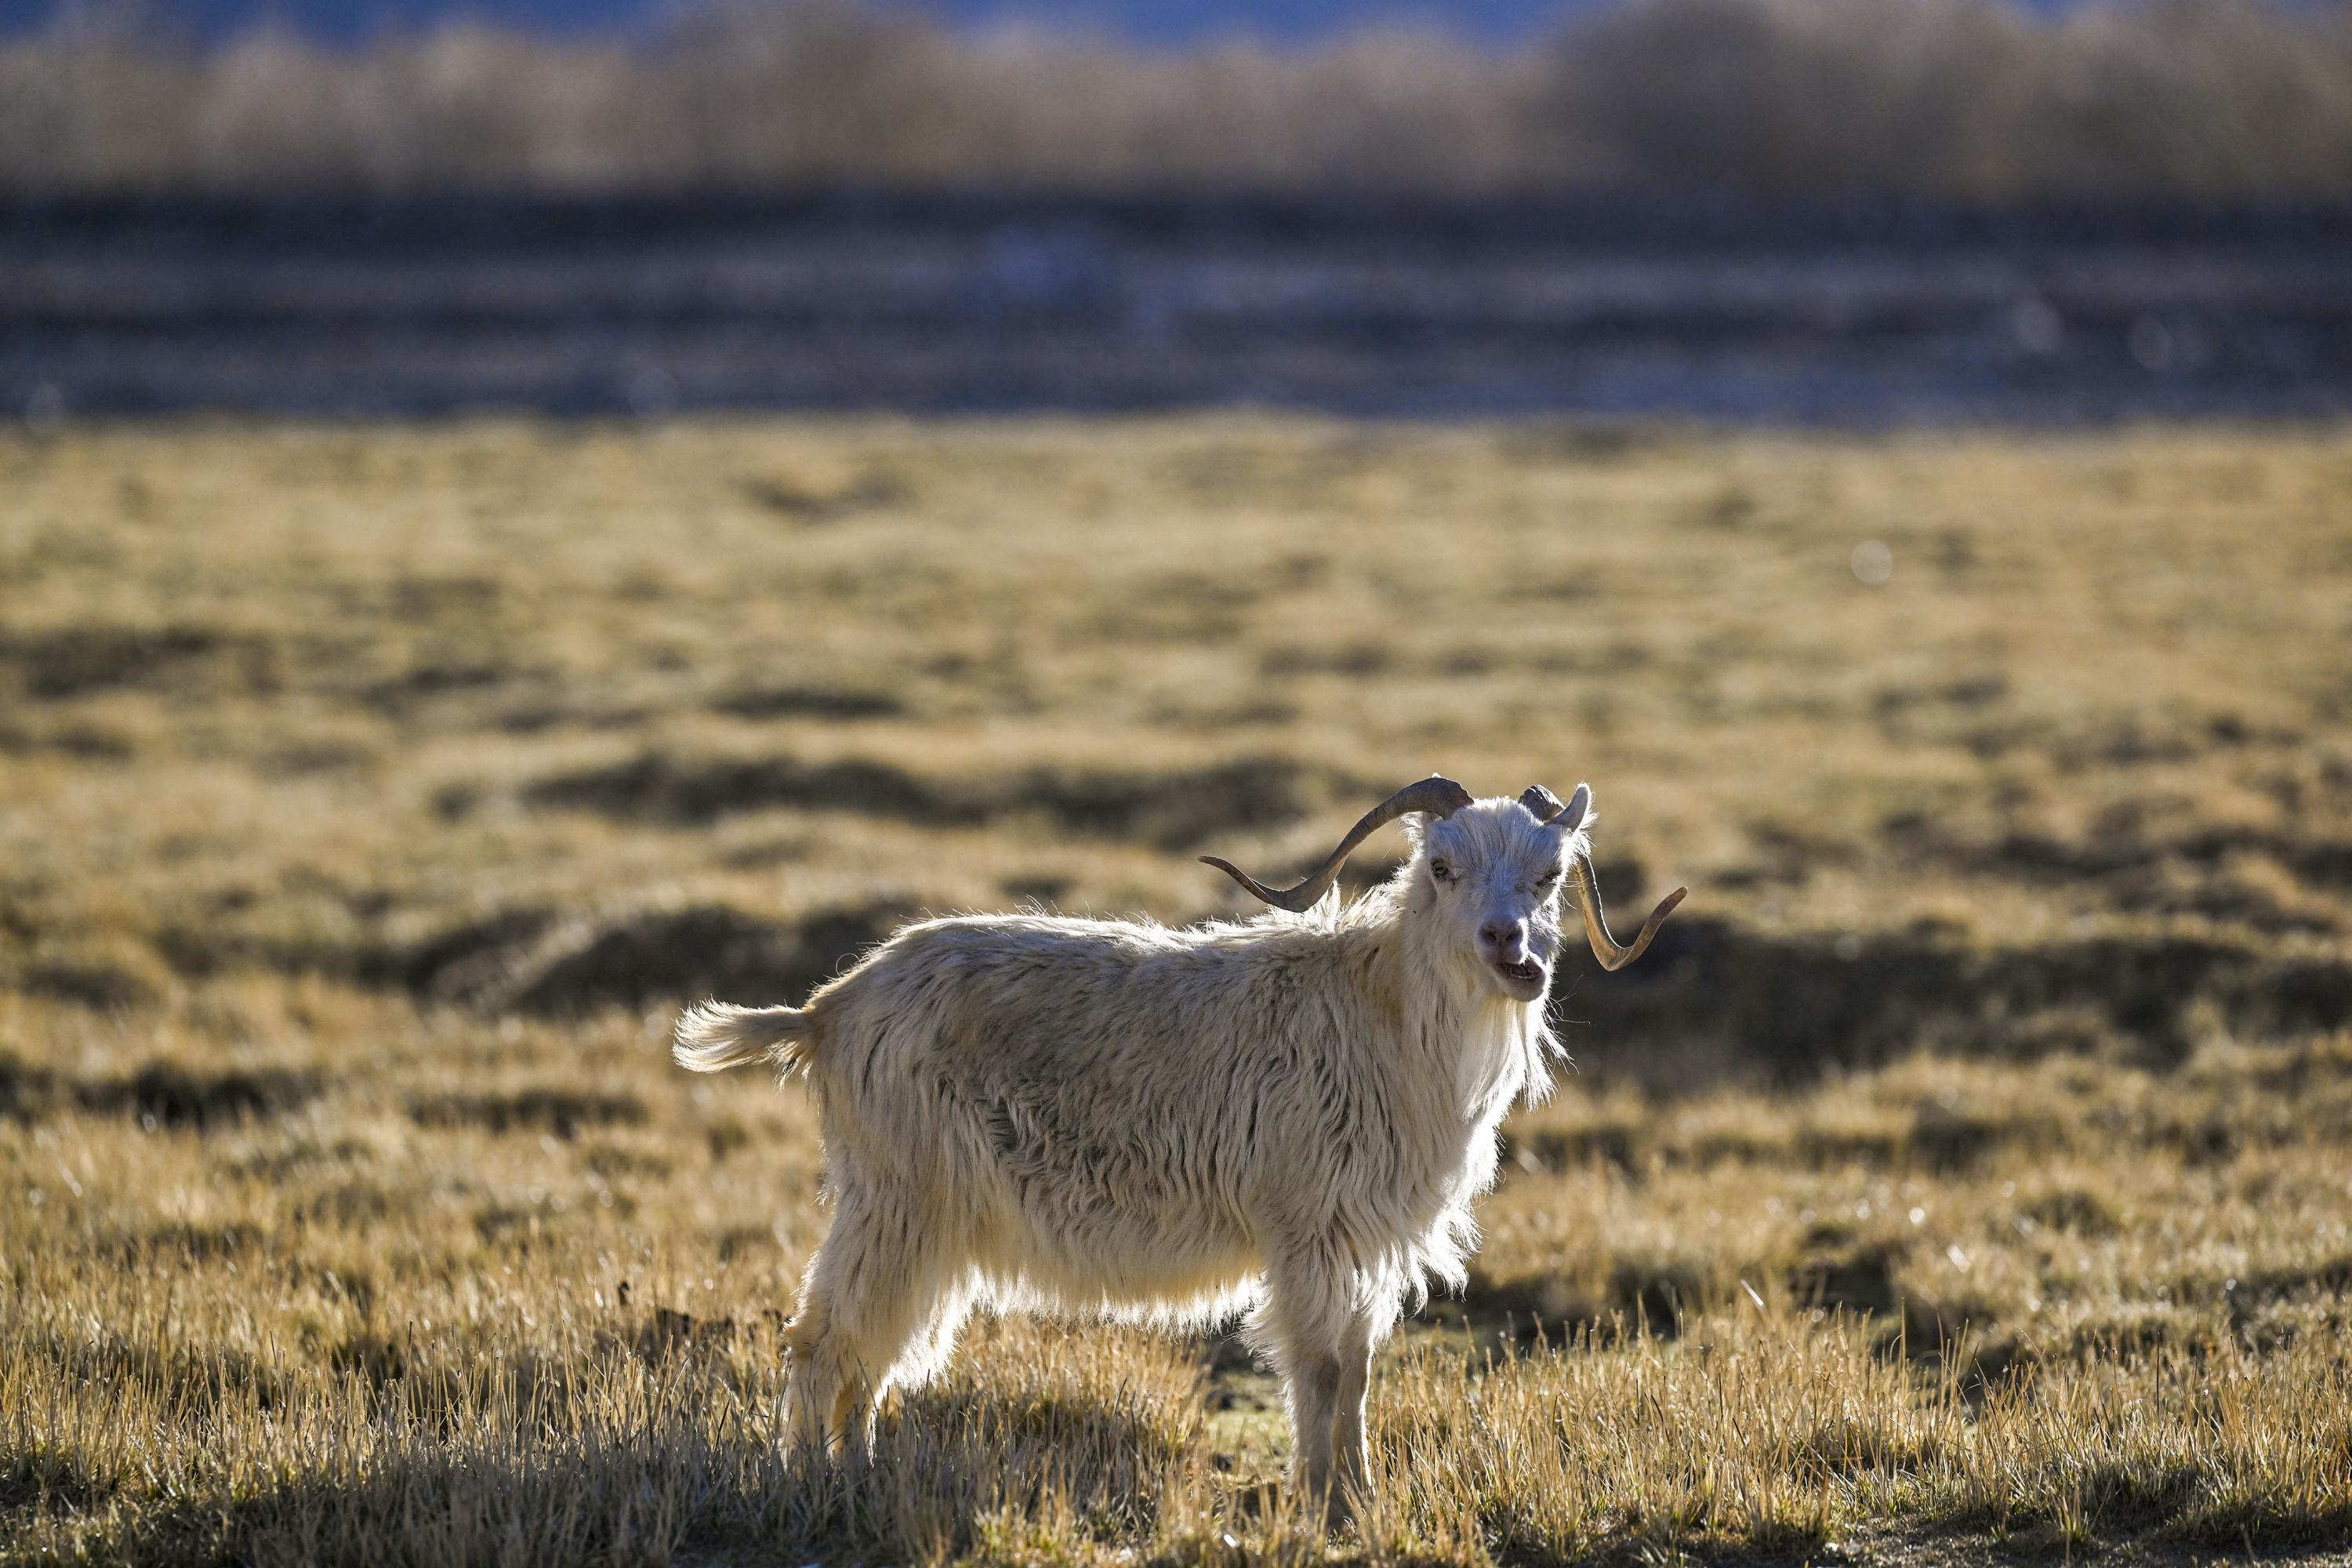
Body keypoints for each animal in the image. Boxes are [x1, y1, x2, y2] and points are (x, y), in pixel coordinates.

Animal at [673, 780, 1684, 1523]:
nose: (1509, 945)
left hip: (916, 1214)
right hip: (897, 1198)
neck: (1381, 1011)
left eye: (1550, 873)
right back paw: (814, 1486)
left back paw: (863, 1477)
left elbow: (1357, 1368)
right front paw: (1324, 1506)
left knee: (867, 1352)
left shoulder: (1363, 1239)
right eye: (1442, 865)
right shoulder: (1305, 1229)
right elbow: (1319, 1368)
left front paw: (1360, 1498)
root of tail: (828, 1008)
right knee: (826, 1339)